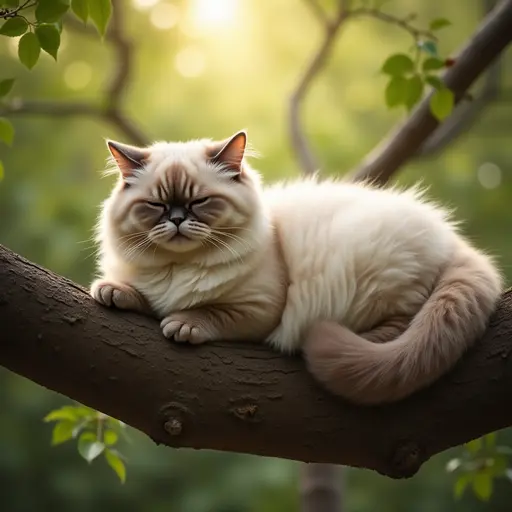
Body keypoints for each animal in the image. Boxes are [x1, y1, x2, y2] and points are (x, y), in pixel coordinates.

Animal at [90, 131, 502, 404]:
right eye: (157, 206)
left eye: (199, 202)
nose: (176, 220)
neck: (179, 267)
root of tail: (452, 238)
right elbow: (145, 296)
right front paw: (113, 291)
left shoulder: (259, 309)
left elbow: (206, 311)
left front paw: (183, 324)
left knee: (401, 326)